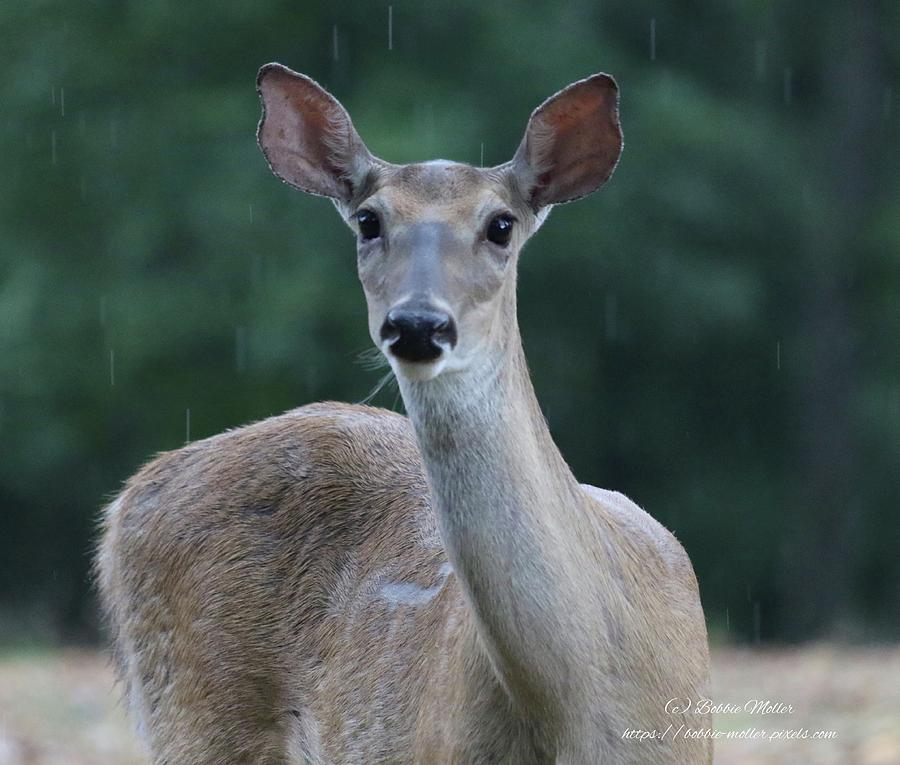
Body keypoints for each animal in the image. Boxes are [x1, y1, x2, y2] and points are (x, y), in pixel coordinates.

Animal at [96, 63, 713, 765]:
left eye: (501, 224)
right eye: (368, 220)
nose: (418, 323)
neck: (580, 706)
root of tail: (127, 501)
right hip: (191, 716)